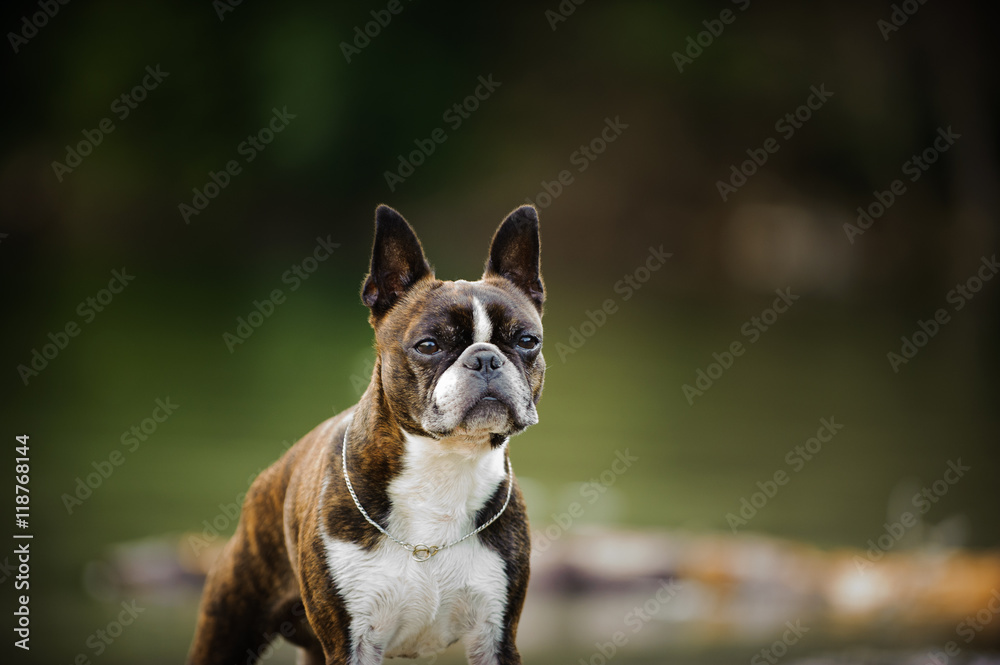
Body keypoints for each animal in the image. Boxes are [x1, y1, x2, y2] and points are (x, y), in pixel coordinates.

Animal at [188, 204, 548, 664]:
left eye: (527, 341)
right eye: (428, 346)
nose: (485, 359)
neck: (444, 466)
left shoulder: (496, 637)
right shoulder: (351, 641)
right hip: (231, 622)